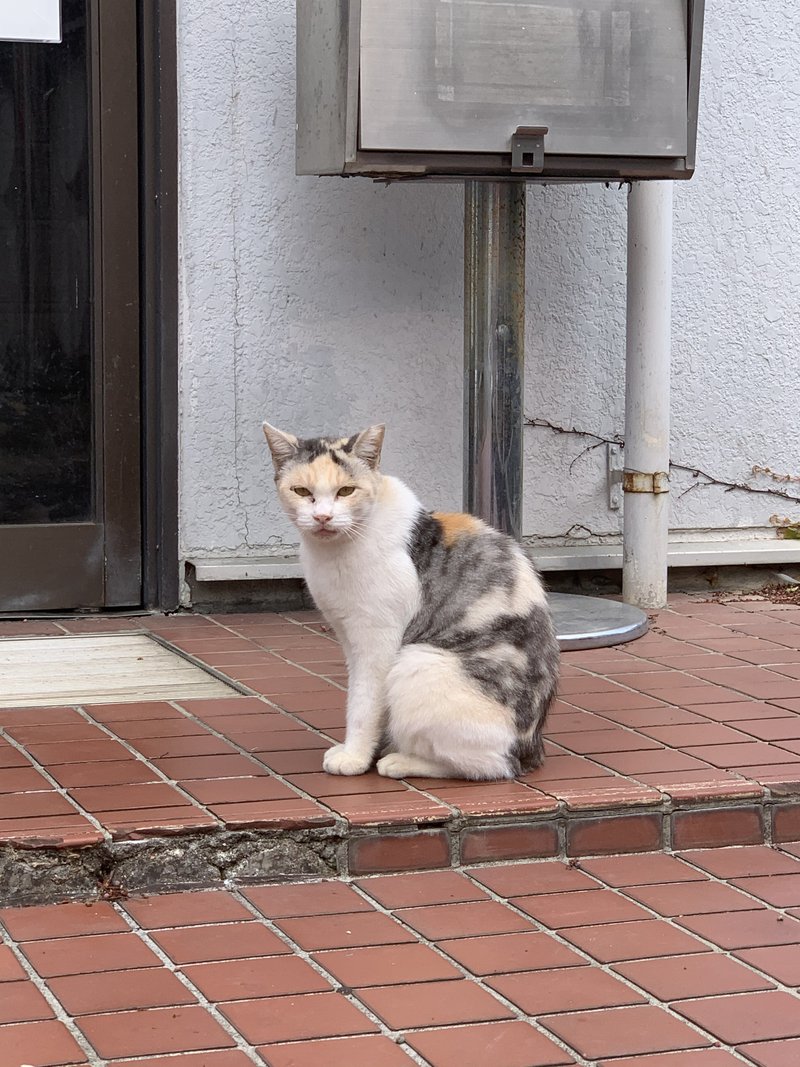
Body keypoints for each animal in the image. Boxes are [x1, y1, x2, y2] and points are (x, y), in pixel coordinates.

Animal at [263, 420, 558, 781]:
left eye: (345, 491)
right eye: (302, 492)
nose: (322, 517)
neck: (332, 554)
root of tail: (532, 746)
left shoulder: (377, 641)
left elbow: (363, 704)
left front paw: (355, 757)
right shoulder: (348, 637)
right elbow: (360, 698)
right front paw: (365, 749)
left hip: (419, 662)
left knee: (489, 766)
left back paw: (401, 761)